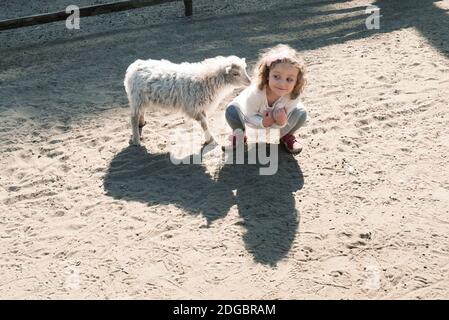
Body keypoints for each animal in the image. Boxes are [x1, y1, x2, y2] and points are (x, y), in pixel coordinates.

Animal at [122, 55, 250, 145]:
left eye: (245, 69)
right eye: (235, 73)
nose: (249, 82)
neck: (206, 80)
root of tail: (134, 66)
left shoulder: (200, 107)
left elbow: (205, 121)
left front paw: (209, 138)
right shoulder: (192, 107)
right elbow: (204, 123)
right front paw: (210, 139)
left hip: (141, 99)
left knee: (140, 112)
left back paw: (141, 123)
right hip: (136, 98)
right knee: (133, 118)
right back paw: (136, 140)